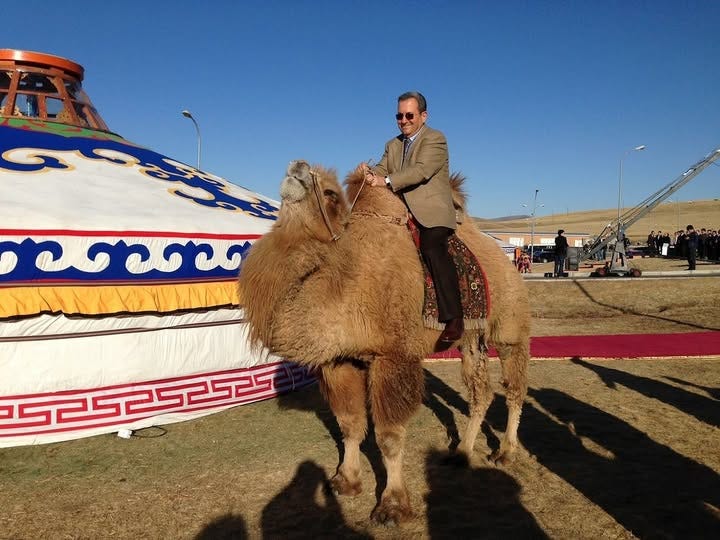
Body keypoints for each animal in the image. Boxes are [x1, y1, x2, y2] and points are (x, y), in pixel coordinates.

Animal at [238, 160, 530, 524]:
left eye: (330, 193)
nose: (298, 168)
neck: (344, 280)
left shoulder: (393, 356)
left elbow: (388, 436)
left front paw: (392, 505)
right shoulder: (341, 360)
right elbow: (349, 424)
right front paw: (345, 481)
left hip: (509, 327)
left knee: (515, 387)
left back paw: (505, 453)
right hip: (470, 339)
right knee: (481, 391)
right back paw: (461, 452)